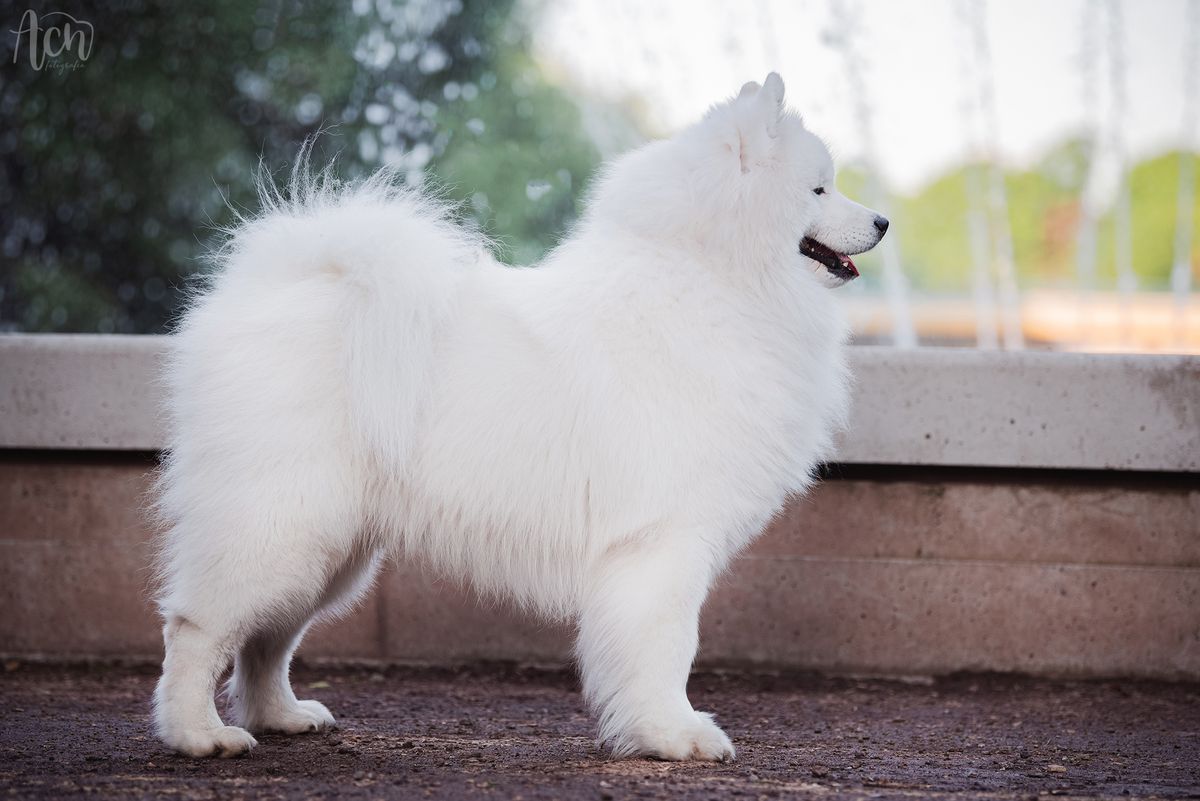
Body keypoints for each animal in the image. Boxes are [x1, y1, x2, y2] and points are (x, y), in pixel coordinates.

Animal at [154, 74, 892, 762]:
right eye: (819, 190)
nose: (885, 221)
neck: (714, 280)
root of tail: (276, 283)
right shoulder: (663, 539)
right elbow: (668, 645)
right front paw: (673, 734)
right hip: (281, 523)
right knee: (198, 627)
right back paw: (200, 734)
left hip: (330, 545)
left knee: (269, 638)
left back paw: (280, 716)